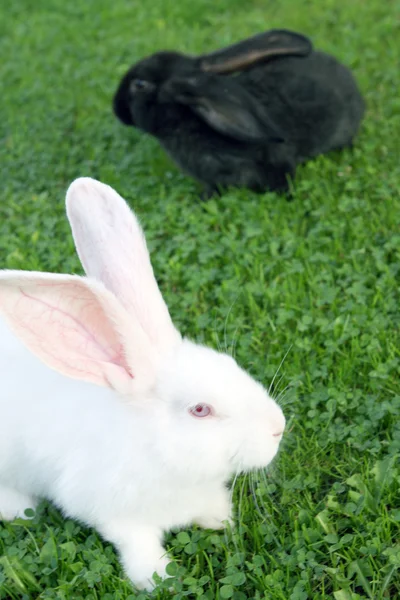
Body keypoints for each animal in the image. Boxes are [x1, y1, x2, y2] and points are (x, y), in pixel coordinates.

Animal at [1, 178, 286, 592]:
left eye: (230, 363)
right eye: (200, 410)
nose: (279, 427)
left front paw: (219, 518)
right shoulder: (113, 512)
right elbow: (136, 544)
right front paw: (159, 578)